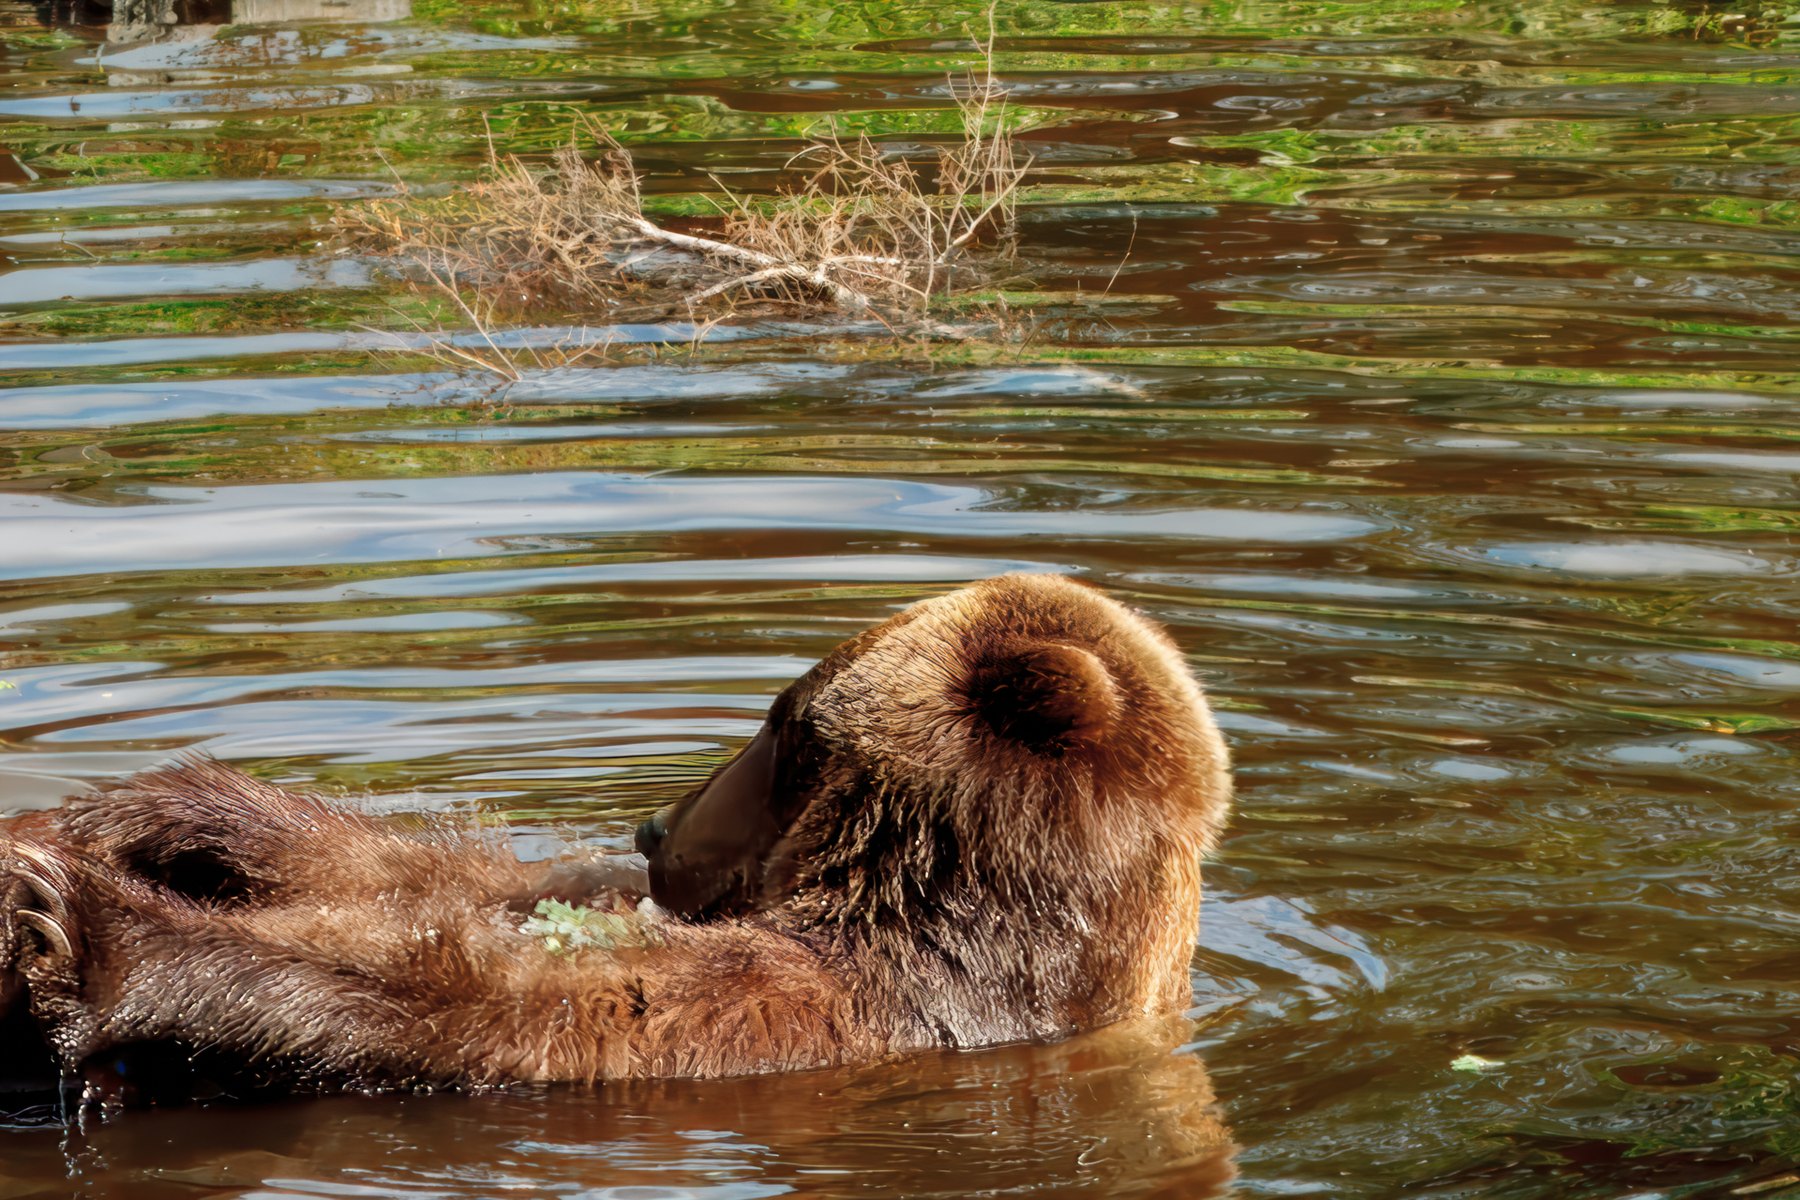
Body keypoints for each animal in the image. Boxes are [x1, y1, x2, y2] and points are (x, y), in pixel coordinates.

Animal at [1, 574, 1232, 1097]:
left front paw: (79, 929)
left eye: (784, 720)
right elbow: (468, 887)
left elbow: (525, 1013)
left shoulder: (844, 1010)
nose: (654, 825)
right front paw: (154, 815)